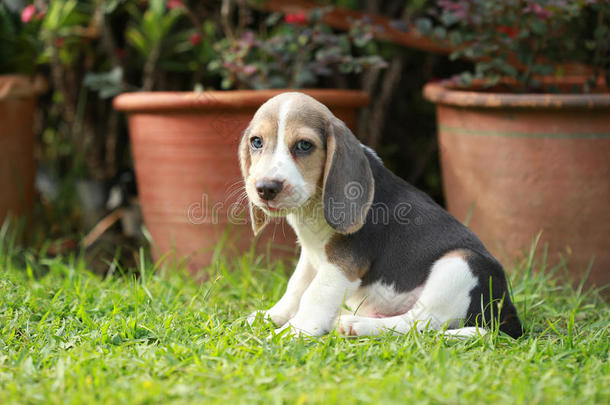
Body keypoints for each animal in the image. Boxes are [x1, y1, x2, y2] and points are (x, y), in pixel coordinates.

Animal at [240, 91, 520, 338]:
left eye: (304, 145)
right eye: (257, 142)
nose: (266, 188)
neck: (312, 206)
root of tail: (508, 311)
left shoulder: (342, 265)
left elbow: (315, 295)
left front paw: (292, 332)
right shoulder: (311, 255)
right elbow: (296, 287)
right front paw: (270, 316)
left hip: (461, 264)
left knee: (421, 323)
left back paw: (356, 325)